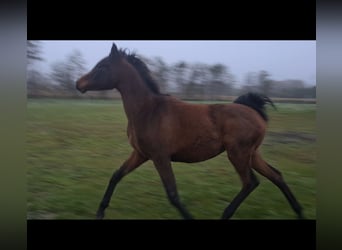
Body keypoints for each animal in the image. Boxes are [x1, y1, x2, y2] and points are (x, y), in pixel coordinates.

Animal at [76, 42, 304, 219]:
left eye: (102, 67)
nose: (78, 83)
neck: (148, 111)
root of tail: (255, 112)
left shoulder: (160, 157)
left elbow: (173, 195)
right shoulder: (141, 154)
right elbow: (116, 175)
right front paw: (100, 212)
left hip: (238, 154)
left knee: (250, 182)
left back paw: (226, 214)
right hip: (252, 154)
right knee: (276, 176)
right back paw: (299, 211)